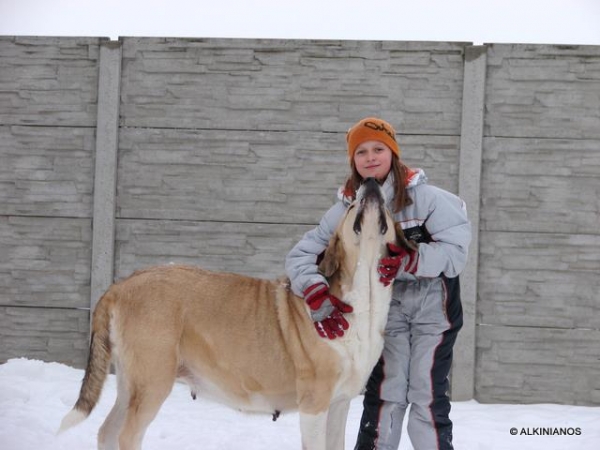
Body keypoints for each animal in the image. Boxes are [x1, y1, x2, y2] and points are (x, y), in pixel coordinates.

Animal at [58, 178, 412, 448]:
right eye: (351, 207)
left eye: (385, 205)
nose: (371, 182)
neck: (362, 297)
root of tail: (121, 285)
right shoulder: (315, 404)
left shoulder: (338, 405)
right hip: (152, 381)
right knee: (127, 436)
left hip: (132, 384)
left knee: (107, 431)